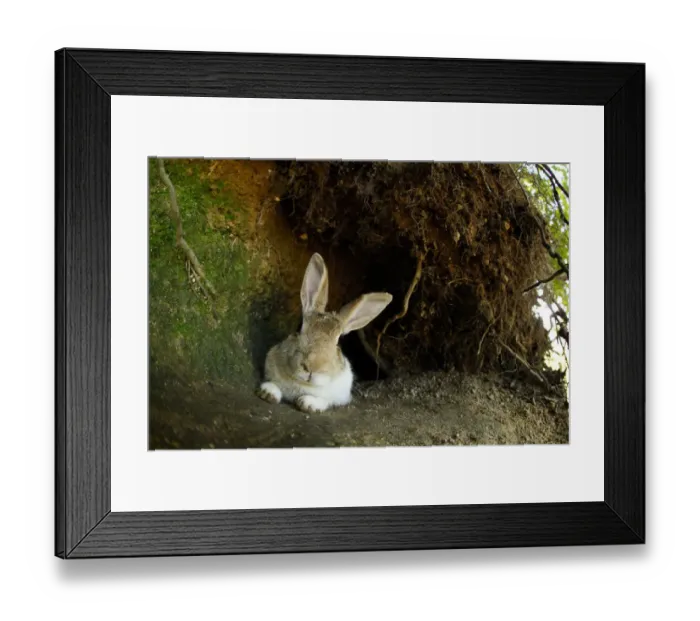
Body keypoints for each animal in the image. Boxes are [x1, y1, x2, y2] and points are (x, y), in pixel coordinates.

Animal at [256, 253, 392, 414]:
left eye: (338, 341)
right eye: (301, 328)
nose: (311, 368)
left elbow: (325, 401)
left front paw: (308, 404)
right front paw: (268, 392)